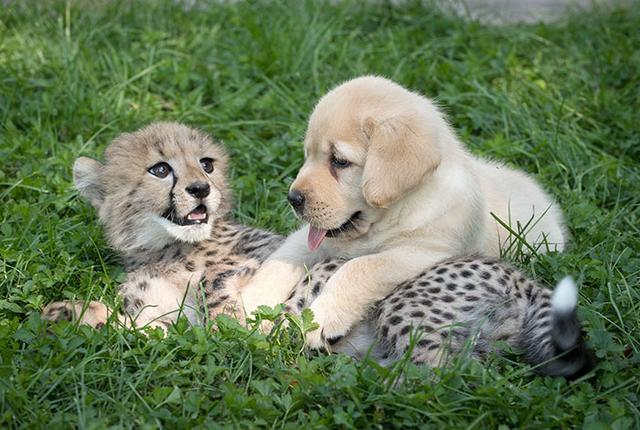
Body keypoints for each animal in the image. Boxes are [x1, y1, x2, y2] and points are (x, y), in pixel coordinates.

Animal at [240, 75, 564, 348]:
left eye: (339, 161)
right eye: (308, 155)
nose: (292, 198)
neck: (391, 215)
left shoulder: (422, 253)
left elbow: (360, 267)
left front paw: (323, 318)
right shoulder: (314, 238)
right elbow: (281, 260)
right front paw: (248, 302)